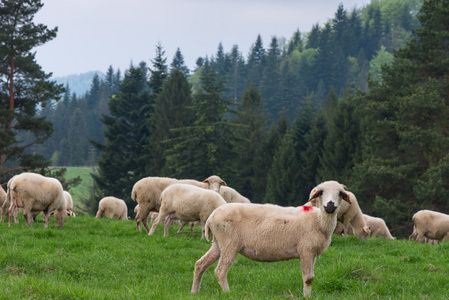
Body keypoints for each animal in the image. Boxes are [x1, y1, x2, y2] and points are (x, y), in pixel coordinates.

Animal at [191, 180, 352, 298]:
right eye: (321, 192)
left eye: (340, 193)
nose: (330, 205)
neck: (319, 221)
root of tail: (211, 217)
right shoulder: (306, 250)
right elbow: (308, 278)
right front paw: (306, 297)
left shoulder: (312, 253)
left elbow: (311, 277)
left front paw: (308, 295)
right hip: (229, 242)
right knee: (220, 271)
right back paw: (227, 293)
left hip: (219, 243)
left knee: (200, 264)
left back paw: (194, 292)